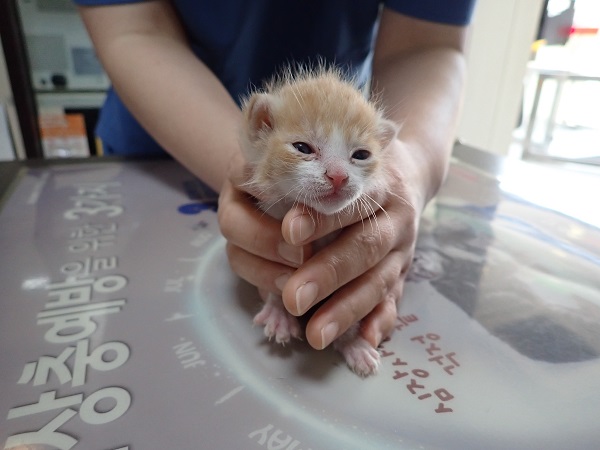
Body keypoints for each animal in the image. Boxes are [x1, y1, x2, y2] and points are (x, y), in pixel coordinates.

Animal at [239, 66, 398, 376]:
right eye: (303, 147)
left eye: (361, 154)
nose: (338, 176)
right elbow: (276, 282)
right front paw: (279, 313)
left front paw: (352, 342)